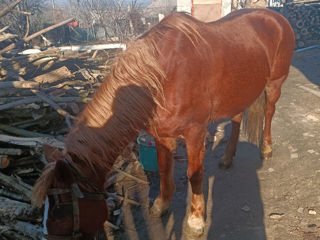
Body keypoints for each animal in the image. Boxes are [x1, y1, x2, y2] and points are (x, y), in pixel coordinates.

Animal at [32, 8, 296, 239]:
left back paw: (266, 149)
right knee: (237, 118)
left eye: (59, 212)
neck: (162, 74)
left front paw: (196, 221)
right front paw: (161, 205)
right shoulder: (161, 134)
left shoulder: (195, 133)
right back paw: (227, 158)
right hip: (239, 92)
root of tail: (275, 17)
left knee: (269, 113)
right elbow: (163, 168)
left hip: (274, 84)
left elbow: (195, 175)